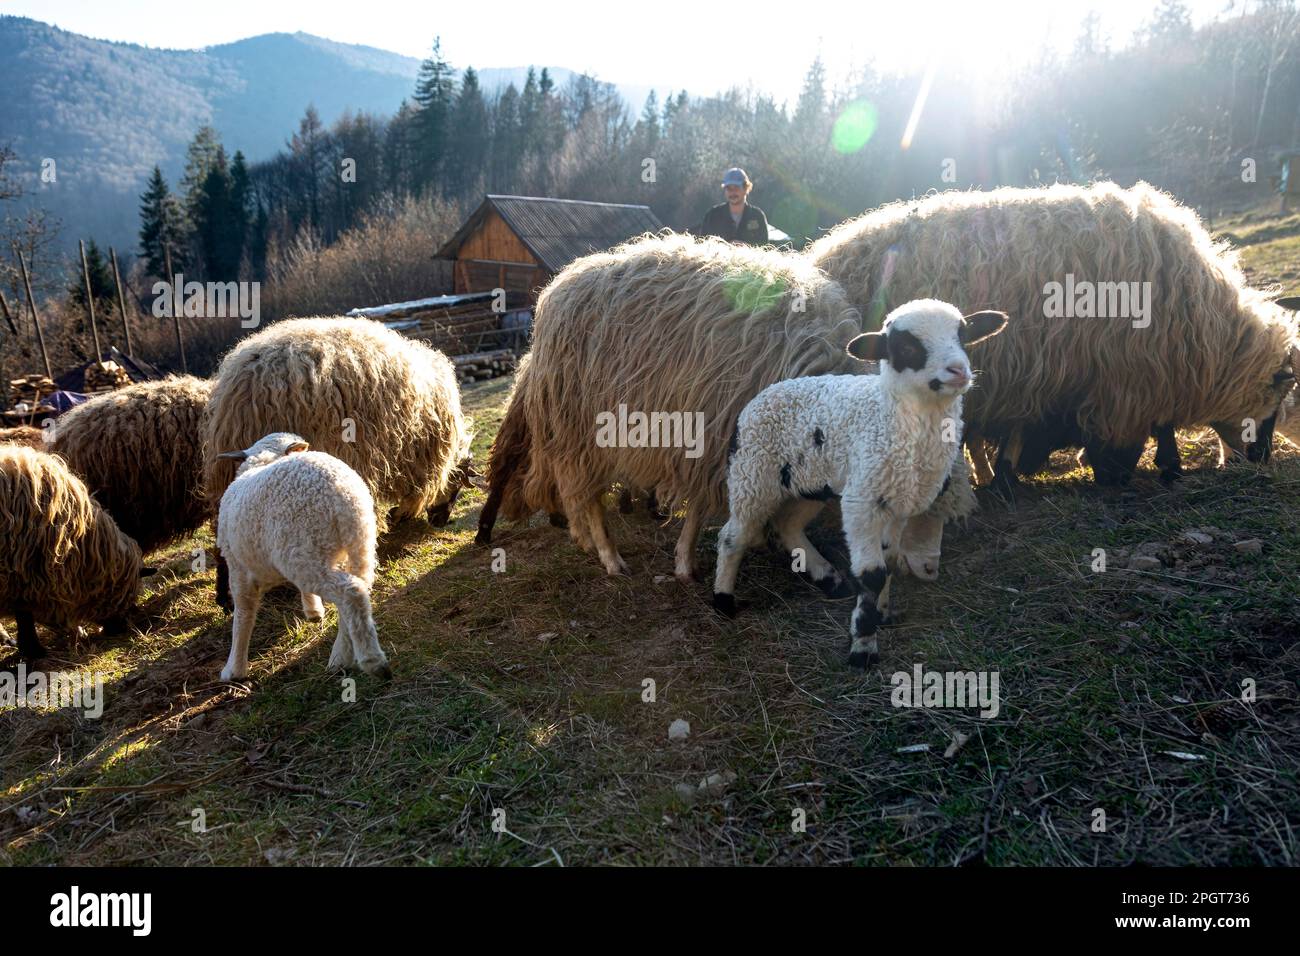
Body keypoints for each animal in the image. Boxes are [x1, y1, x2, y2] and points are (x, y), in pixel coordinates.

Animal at [205, 317, 474, 608]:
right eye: (458, 485)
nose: (442, 521)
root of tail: (250, 383)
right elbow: (413, 496)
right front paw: (398, 516)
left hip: (231, 476)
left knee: (223, 535)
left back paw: (225, 596)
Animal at [214, 432, 389, 682]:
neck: (262, 461)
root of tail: (343, 494)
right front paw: (313, 610)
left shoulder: (237, 566)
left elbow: (243, 613)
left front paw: (234, 668)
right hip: (350, 544)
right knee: (359, 589)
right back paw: (340, 654)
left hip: (304, 548)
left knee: (351, 591)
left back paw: (373, 661)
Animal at [476, 232, 977, 582]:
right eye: (917, 509)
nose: (929, 572)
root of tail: (559, 284)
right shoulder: (720, 439)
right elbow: (709, 507)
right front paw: (688, 561)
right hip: (580, 431)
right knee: (587, 498)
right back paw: (609, 556)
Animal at [713, 300, 1007, 669]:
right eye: (906, 346)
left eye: (963, 335)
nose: (958, 370)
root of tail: (759, 399)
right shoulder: (863, 502)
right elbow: (872, 574)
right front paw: (863, 647)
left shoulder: (898, 502)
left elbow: (890, 561)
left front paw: (881, 614)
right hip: (753, 474)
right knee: (733, 536)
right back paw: (723, 600)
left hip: (810, 483)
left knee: (788, 525)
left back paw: (830, 579)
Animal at [807, 182, 1300, 486]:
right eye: (1277, 398)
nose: (1262, 461)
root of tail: (824, 260)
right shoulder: (1129, 380)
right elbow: (1135, 436)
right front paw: (1140, 468)